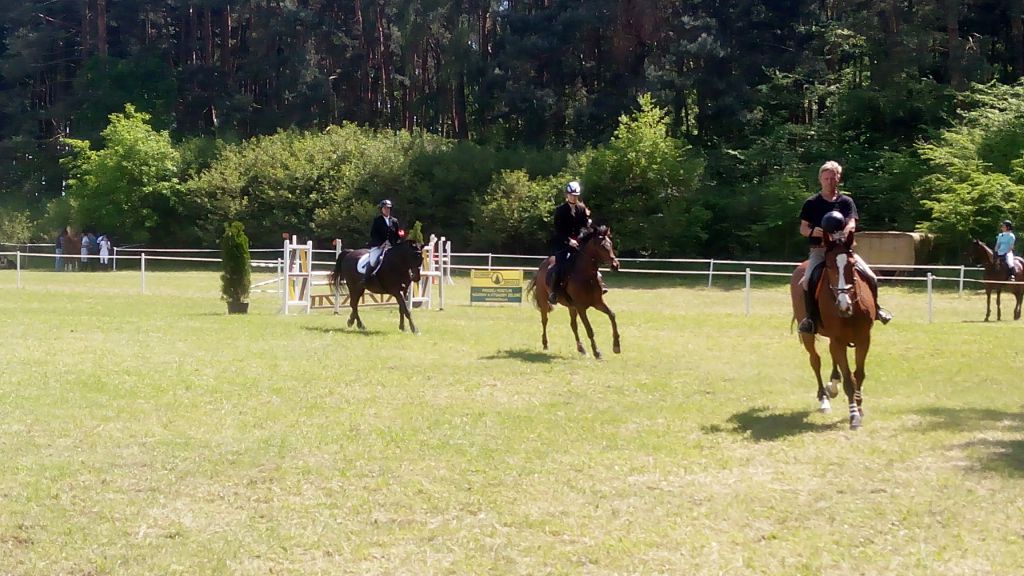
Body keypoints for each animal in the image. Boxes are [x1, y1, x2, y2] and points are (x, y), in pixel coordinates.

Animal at [528, 225, 621, 358]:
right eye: (602, 246)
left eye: (611, 244)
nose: (615, 265)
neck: (586, 276)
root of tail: (542, 265)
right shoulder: (581, 307)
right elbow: (589, 329)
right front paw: (597, 352)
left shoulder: (597, 303)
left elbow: (612, 315)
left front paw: (616, 346)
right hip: (544, 301)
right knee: (544, 320)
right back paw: (545, 344)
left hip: (571, 306)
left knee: (573, 325)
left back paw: (581, 348)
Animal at [790, 232, 875, 429]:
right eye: (828, 266)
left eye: (852, 264)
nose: (844, 305)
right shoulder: (838, 340)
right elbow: (849, 380)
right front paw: (854, 416)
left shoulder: (863, 339)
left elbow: (858, 375)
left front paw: (859, 408)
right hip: (808, 335)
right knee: (815, 361)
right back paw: (824, 399)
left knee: (832, 356)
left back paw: (833, 384)